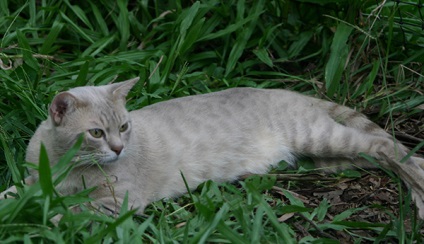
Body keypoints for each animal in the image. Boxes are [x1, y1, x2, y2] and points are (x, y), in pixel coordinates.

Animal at [0, 77, 424, 217]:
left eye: (123, 127)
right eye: (97, 133)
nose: (119, 149)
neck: (65, 166)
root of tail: (283, 89)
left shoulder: (117, 200)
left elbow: (73, 210)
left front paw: (46, 219)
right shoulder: (32, 181)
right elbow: (13, 192)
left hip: (322, 137)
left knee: (391, 147)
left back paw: (419, 189)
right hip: (330, 160)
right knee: (376, 156)